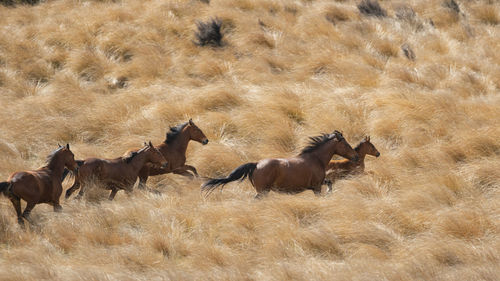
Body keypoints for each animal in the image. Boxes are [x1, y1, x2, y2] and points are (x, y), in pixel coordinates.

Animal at [201, 130, 358, 198]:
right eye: (345, 144)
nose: (355, 156)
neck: (315, 158)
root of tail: (256, 164)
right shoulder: (317, 187)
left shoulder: (318, 184)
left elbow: (330, 182)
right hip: (263, 192)